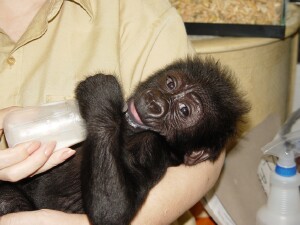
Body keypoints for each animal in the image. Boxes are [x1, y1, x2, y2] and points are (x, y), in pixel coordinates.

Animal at [0, 56, 248, 225]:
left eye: (184, 111)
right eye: (170, 84)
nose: (155, 101)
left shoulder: (151, 149)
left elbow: (112, 210)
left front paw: (101, 94)